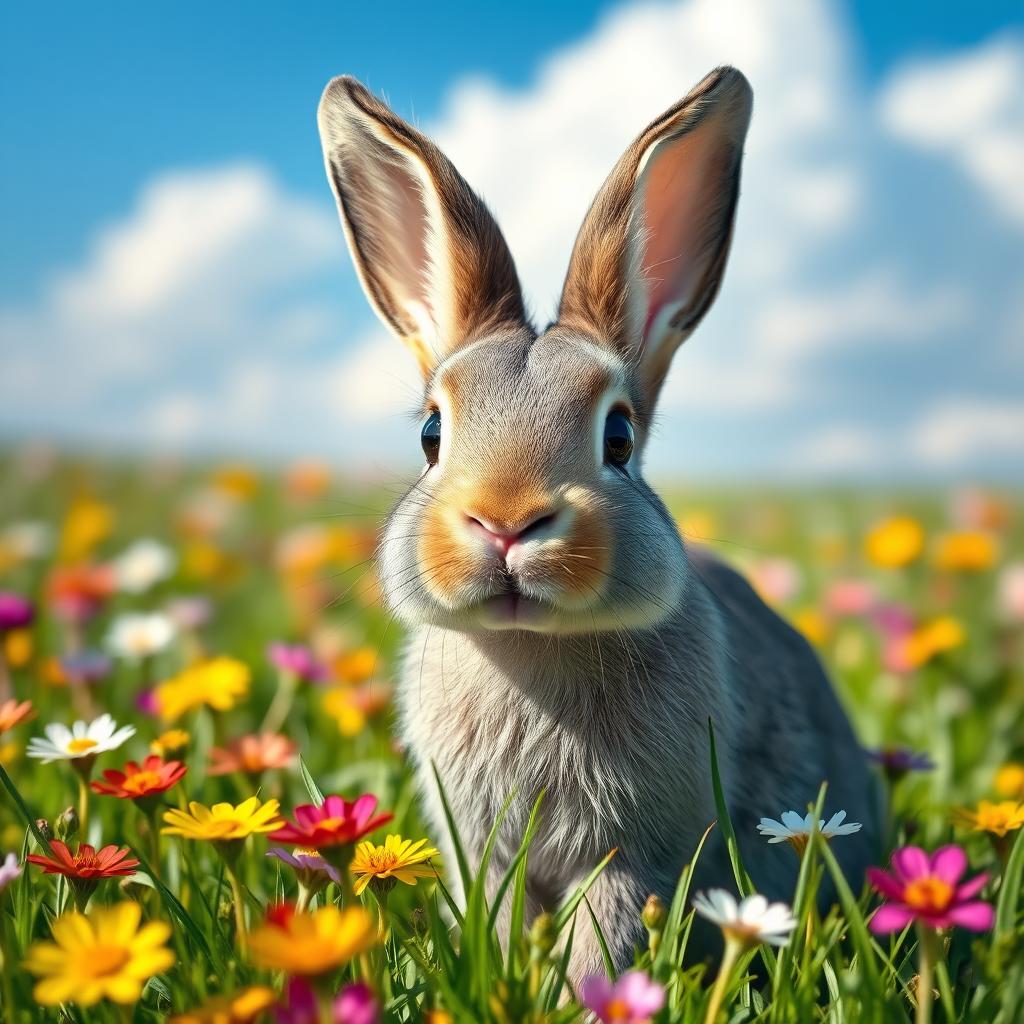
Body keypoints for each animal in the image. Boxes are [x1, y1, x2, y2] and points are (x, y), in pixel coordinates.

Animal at [316, 66, 879, 983]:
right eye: (431, 434)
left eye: (617, 438)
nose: (506, 521)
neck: (532, 649)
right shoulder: (487, 855)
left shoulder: (629, 859)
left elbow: (604, 936)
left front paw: (583, 993)